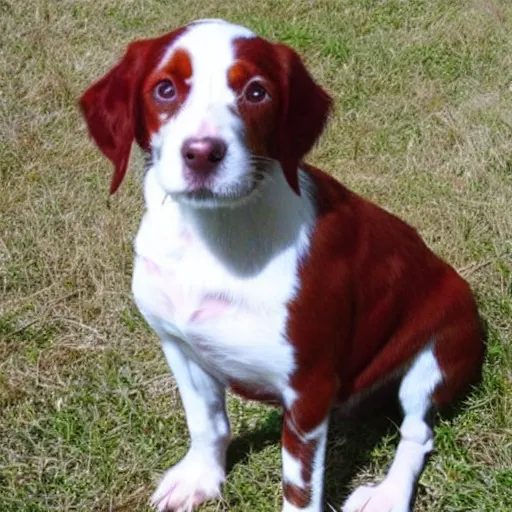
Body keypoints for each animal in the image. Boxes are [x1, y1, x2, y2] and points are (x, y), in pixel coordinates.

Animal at [80, 18, 484, 510]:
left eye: (256, 92)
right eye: (165, 89)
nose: (202, 152)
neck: (213, 237)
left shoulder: (308, 387)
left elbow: (300, 487)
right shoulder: (178, 344)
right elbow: (206, 422)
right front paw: (200, 478)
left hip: (436, 355)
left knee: (416, 431)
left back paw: (387, 495)